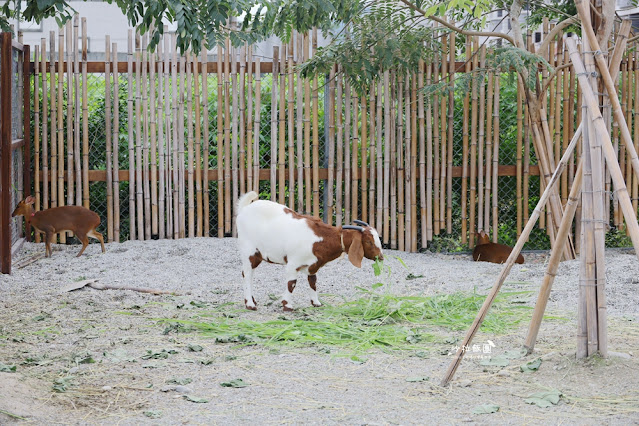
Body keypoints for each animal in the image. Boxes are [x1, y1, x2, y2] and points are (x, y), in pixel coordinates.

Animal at [236, 191, 382, 312]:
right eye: (369, 241)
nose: (381, 257)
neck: (319, 238)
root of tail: (244, 209)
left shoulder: (313, 265)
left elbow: (313, 282)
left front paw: (316, 303)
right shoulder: (293, 264)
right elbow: (291, 284)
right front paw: (287, 305)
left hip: (257, 255)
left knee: (250, 274)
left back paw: (252, 300)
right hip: (249, 251)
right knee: (246, 274)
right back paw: (250, 304)